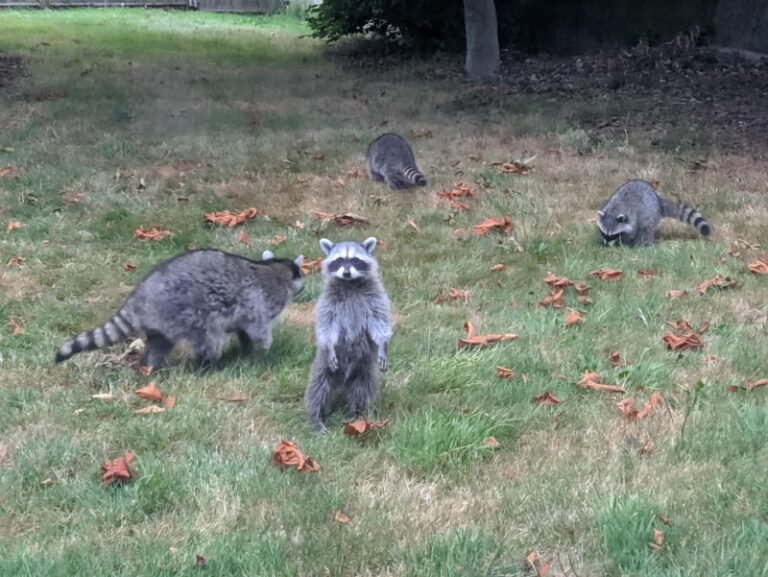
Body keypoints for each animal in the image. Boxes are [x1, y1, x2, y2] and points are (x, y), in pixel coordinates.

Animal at [55, 249, 304, 370]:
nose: (304, 288)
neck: (275, 267)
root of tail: (141, 296)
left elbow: (243, 331)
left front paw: (247, 350)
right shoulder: (258, 302)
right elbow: (258, 330)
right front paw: (262, 352)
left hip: (165, 323)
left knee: (158, 345)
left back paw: (149, 367)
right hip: (189, 313)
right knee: (211, 340)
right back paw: (207, 366)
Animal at [305, 237, 392, 433]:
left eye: (354, 260)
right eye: (339, 260)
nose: (346, 273)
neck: (349, 283)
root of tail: (343, 381)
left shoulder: (374, 297)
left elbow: (378, 322)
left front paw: (383, 344)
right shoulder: (328, 302)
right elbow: (327, 326)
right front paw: (329, 345)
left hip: (364, 366)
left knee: (362, 388)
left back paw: (358, 415)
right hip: (324, 365)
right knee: (317, 388)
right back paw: (315, 416)